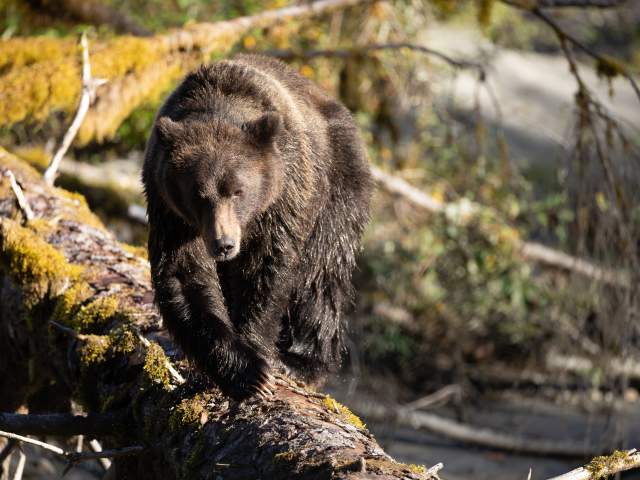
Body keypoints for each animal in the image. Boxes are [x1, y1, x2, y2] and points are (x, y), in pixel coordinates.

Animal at [142, 54, 372, 400]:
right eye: (198, 195)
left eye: (238, 191)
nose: (224, 244)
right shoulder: (170, 210)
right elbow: (185, 276)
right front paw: (244, 371)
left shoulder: (284, 195)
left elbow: (266, 271)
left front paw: (259, 358)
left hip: (338, 187)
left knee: (322, 274)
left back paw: (302, 361)